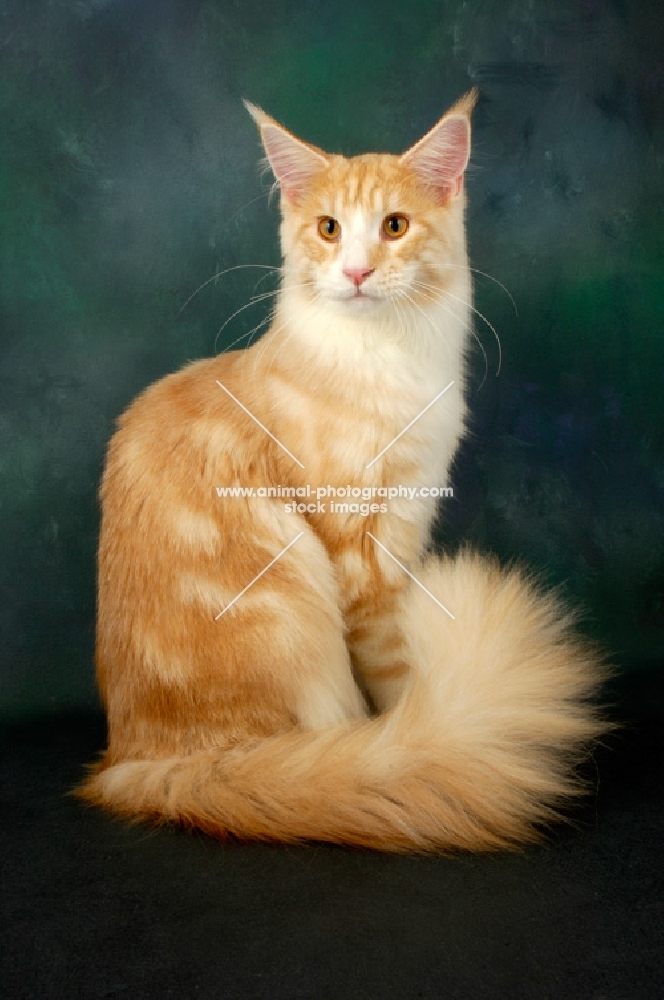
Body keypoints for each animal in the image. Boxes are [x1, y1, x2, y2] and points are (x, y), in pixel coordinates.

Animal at [75, 92, 608, 852]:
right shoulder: (360, 551)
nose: (356, 272)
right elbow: (395, 670)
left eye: (394, 226)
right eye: (329, 230)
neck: (384, 362)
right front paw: (414, 732)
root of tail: (137, 761)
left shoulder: (409, 515)